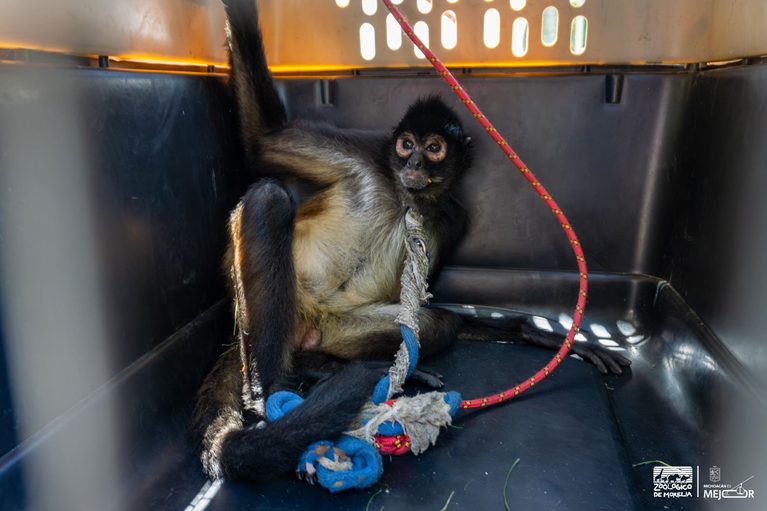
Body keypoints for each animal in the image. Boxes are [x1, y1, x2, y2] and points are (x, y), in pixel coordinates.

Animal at [192, 0, 631, 482]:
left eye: (434, 148)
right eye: (406, 144)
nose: (415, 162)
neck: (408, 196)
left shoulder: (453, 215)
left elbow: (429, 304)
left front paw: (539, 334)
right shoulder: (369, 152)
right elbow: (263, 140)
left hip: (338, 326)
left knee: (437, 323)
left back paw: (328, 369)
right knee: (269, 198)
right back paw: (270, 389)